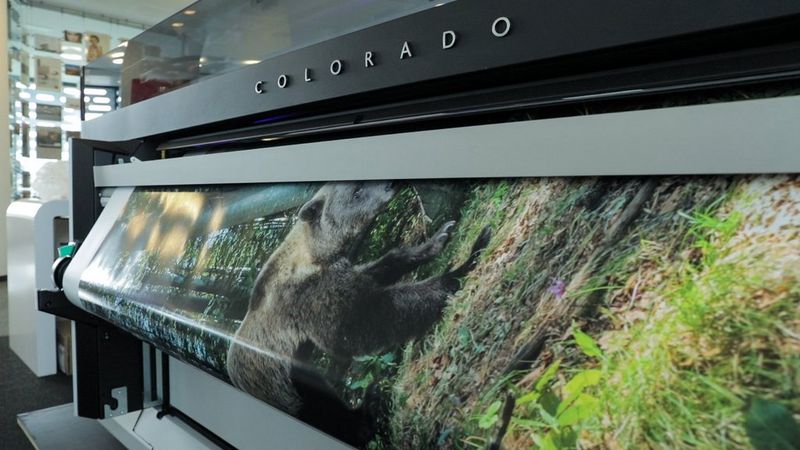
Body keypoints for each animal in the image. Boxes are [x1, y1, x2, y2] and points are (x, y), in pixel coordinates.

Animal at [226, 181, 491, 446]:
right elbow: (359, 322)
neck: (315, 256)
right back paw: (368, 410)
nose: (391, 184)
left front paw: (438, 238)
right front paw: (462, 265)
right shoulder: (305, 298)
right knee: (329, 411)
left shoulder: (340, 271)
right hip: (290, 390)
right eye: (357, 191)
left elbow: (378, 270)